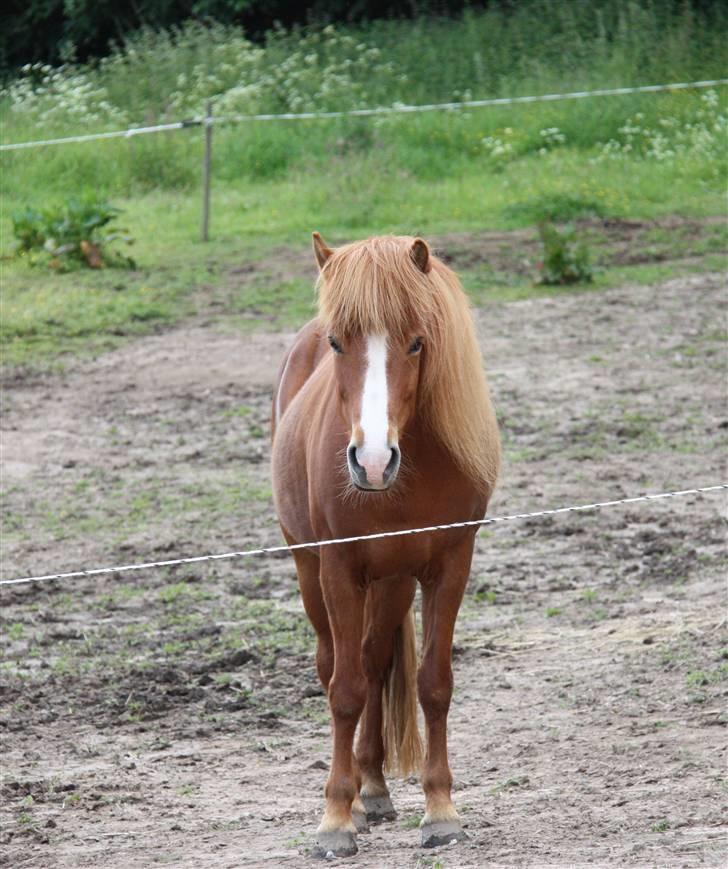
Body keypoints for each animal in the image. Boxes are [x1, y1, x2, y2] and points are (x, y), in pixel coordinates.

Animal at [272, 231, 500, 856]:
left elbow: (433, 684)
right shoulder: (338, 568)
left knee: (375, 661)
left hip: (394, 581)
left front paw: (441, 810)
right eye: (337, 343)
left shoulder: (451, 563)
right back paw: (355, 799)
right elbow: (344, 690)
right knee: (337, 664)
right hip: (310, 570)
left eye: (418, 342)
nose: (372, 462)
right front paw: (334, 819)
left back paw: (373, 788)